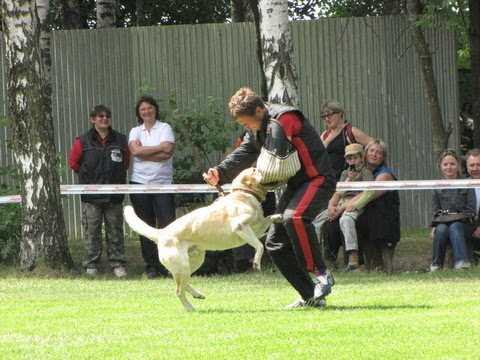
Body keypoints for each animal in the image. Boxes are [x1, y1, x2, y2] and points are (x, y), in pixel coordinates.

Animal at [124, 167, 282, 310]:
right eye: (255, 169)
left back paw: (197, 294)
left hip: (194, 262)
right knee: (178, 290)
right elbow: (259, 246)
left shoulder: (256, 230)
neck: (243, 195)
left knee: (182, 283)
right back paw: (190, 308)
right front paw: (256, 263)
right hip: (183, 265)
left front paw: (278, 217)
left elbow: (268, 219)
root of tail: (161, 233)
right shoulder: (240, 226)